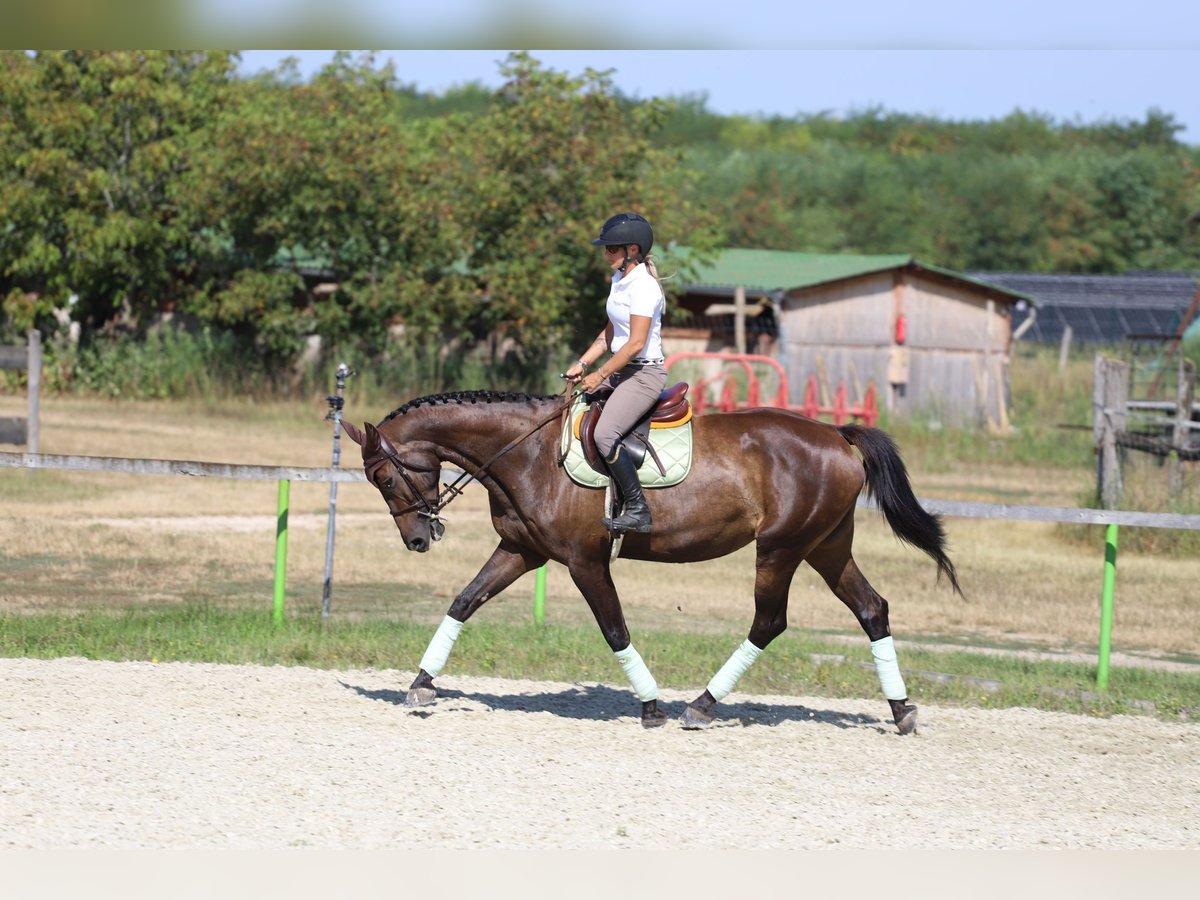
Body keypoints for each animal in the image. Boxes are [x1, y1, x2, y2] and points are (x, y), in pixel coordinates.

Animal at [343, 388, 960, 734]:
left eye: (382, 478)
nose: (418, 540)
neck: (527, 452)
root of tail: (836, 433)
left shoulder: (584, 562)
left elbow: (615, 629)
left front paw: (650, 707)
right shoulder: (522, 551)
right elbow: (464, 601)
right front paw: (421, 683)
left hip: (782, 549)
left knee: (769, 621)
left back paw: (701, 707)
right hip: (826, 547)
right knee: (872, 609)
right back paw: (902, 711)